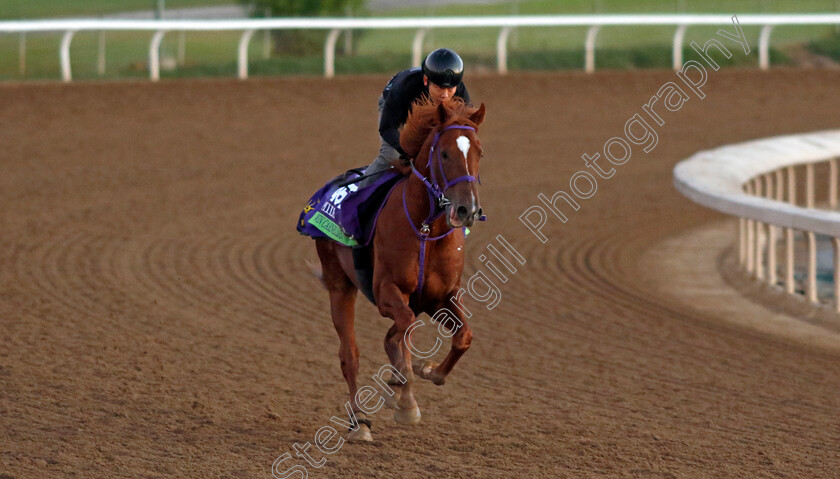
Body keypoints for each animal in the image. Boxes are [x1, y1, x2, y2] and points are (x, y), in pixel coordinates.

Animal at [314, 98, 486, 442]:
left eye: (479, 152)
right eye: (444, 153)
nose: (468, 210)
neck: (425, 228)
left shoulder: (441, 297)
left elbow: (464, 336)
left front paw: (428, 370)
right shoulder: (386, 292)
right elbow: (405, 325)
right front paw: (407, 402)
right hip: (340, 285)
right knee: (349, 355)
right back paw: (360, 421)